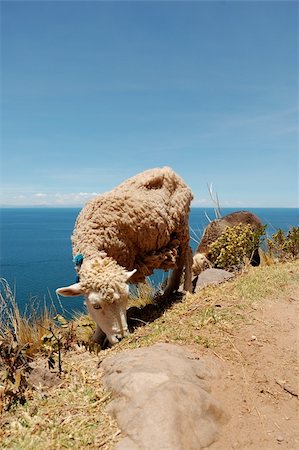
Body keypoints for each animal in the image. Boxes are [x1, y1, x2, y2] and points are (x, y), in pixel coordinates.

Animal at [56, 167, 195, 346]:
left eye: (126, 298)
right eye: (96, 306)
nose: (121, 337)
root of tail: (168, 170)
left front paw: (99, 336)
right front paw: (96, 338)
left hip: (181, 223)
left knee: (187, 255)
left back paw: (187, 290)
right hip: (173, 232)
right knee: (179, 259)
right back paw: (170, 290)